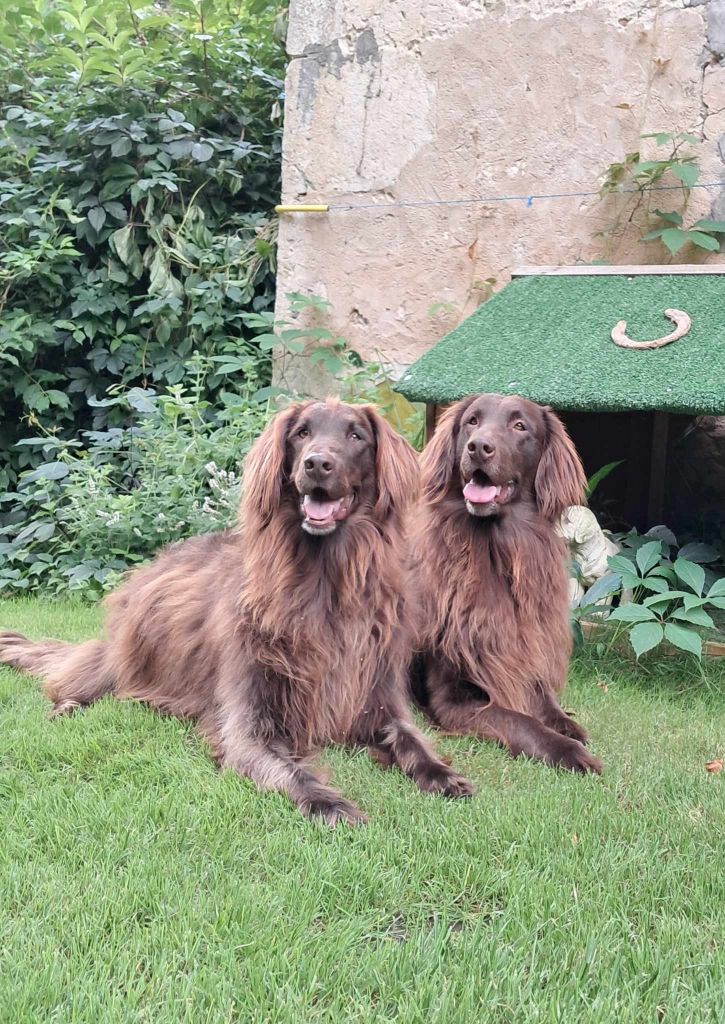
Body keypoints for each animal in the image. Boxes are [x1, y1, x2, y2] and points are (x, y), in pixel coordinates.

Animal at [0, 399, 473, 823]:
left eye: (356, 436)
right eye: (302, 433)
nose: (317, 464)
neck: (324, 585)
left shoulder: (378, 698)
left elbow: (412, 740)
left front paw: (442, 775)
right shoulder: (248, 723)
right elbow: (290, 771)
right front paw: (330, 804)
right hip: (124, 655)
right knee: (80, 677)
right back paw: (67, 706)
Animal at [411, 395, 602, 770]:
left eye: (520, 426)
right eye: (472, 421)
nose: (478, 447)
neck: (494, 553)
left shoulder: (525, 650)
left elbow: (547, 702)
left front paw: (569, 727)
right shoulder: (454, 697)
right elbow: (523, 721)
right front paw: (570, 751)